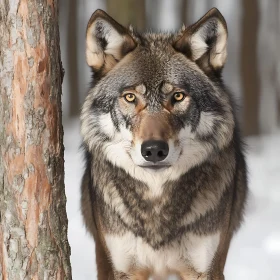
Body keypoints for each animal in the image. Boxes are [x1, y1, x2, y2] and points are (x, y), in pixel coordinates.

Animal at [80, 7, 248, 280]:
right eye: (130, 97)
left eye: (177, 96)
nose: (154, 150)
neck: (156, 203)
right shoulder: (125, 270)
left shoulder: (205, 269)